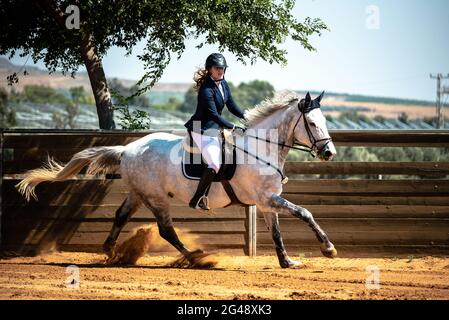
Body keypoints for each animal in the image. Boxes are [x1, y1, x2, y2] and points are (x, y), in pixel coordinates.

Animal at [17, 91, 336, 268]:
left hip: (138, 193)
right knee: (166, 230)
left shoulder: (267, 203)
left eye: (324, 121)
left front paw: (287, 262)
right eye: (311, 123)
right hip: (156, 199)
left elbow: (277, 233)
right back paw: (195, 257)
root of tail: (127, 149)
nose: (329, 152)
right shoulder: (266, 199)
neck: (261, 148)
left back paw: (109, 250)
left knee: (121, 215)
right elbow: (304, 212)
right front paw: (328, 248)